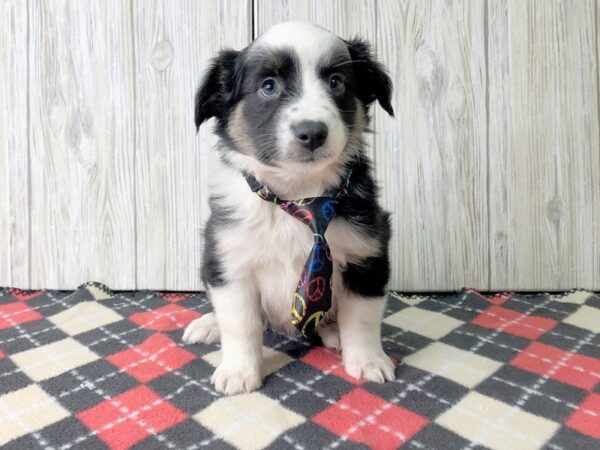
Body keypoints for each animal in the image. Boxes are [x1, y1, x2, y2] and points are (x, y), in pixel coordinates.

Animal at [185, 22, 396, 394]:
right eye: (268, 86)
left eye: (337, 82)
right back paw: (208, 325)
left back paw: (332, 331)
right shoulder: (230, 261)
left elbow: (362, 318)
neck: (300, 196)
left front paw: (369, 361)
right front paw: (238, 371)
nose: (312, 133)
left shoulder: (367, 257)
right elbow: (240, 323)